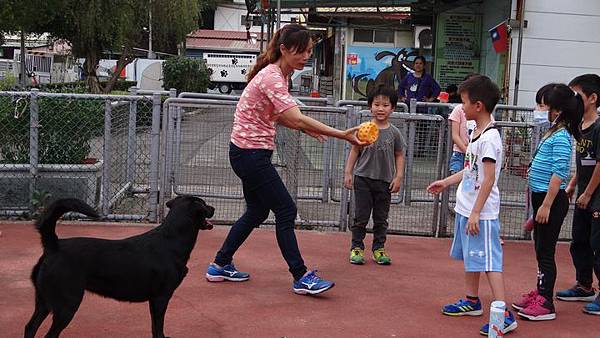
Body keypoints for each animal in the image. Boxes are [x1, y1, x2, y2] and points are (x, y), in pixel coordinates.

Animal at [24, 195, 216, 338]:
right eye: (204, 204)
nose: (213, 208)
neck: (172, 239)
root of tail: (54, 245)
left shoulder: (155, 300)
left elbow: (154, 328)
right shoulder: (161, 297)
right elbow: (158, 328)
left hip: (43, 301)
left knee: (30, 327)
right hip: (67, 303)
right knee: (50, 334)